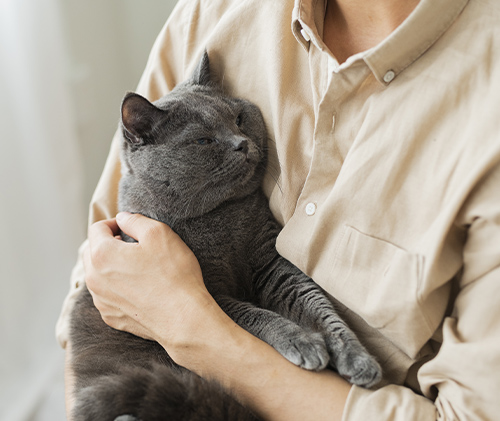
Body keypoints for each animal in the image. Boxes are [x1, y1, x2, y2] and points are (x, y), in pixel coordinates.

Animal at [70, 52, 380, 420]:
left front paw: (357, 358)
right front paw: (302, 341)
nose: (241, 143)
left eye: (239, 118)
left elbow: (316, 303)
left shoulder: (271, 263)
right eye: (203, 140)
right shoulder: (211, 293)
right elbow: (255, 315)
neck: (221, 216)